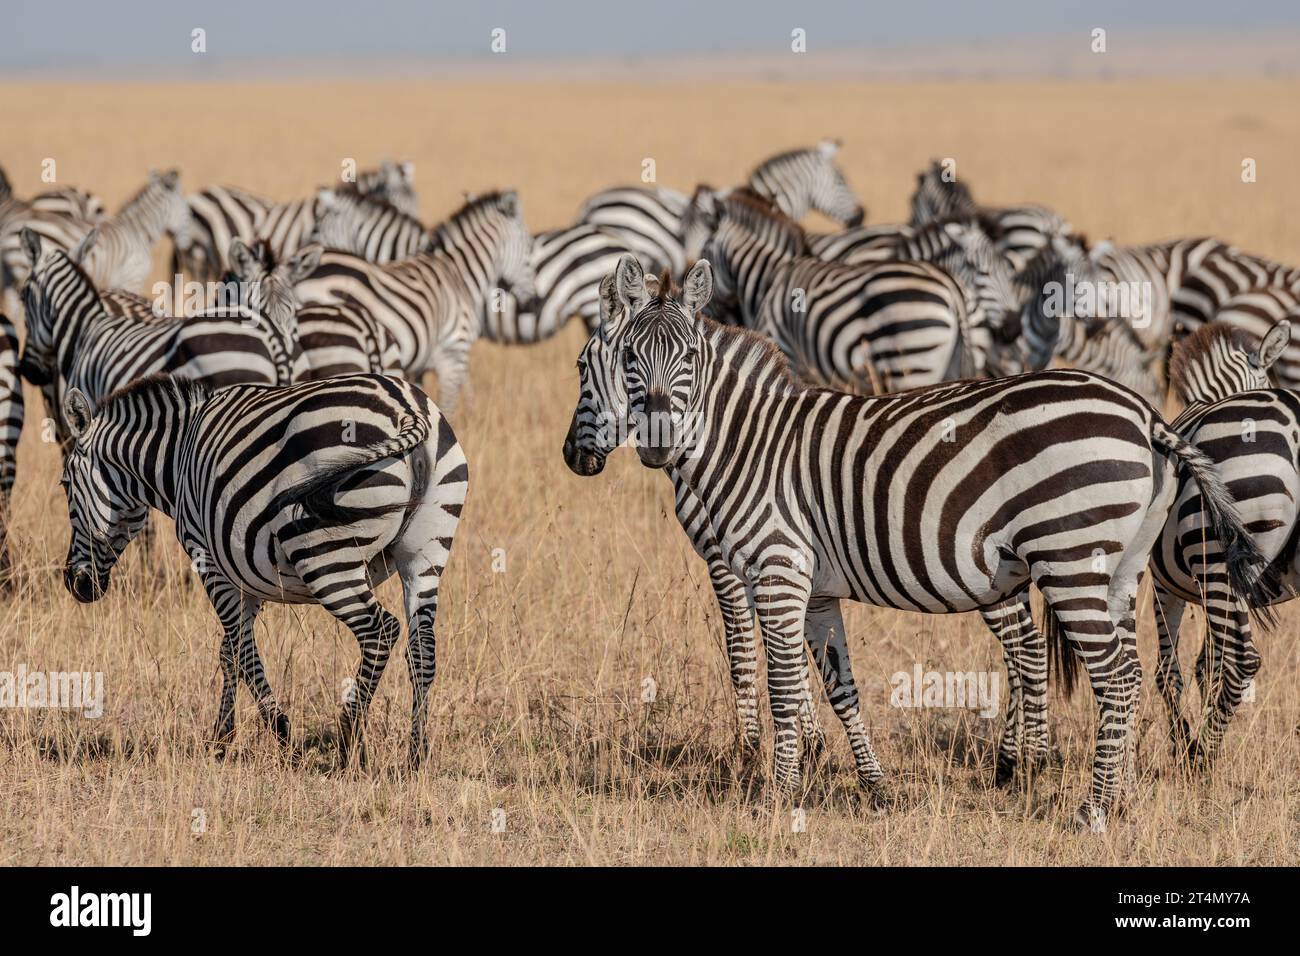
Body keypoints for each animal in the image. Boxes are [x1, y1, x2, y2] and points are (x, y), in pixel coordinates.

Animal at [58, 371, 466, 769]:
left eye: (64, 484)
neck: (176, 457)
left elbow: (241, 649)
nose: (75, 583)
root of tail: (406, 408)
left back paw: (349, 743)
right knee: (422, 647)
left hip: (325, 552)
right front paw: (221, 739)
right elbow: (229, 652)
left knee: (379, 631)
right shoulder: (245, 572)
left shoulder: (209, 561)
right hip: (426, 552)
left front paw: (281, 733)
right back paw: (417, 755)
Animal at [294, 191, 536, 412]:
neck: (459, 274)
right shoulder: (452, 353)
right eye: (529, 250)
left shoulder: (419, 367)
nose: (533, 301)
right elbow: (448, 406)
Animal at [568, 254, 1266, 830]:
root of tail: (1147, 415)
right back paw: (1118, 799)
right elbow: (839, 685)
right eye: (627, 362)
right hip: (1116, 569)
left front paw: (776, 795)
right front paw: (873, 789)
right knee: (1129, 670)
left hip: (1070, 558)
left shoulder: (774, 571)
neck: (749, 442)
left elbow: (779, 683)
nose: (653, 447)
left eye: (687, 358)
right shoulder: (816, 590)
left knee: (1115, 675)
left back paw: (1092, 810)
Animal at [1151, 320, 1296, 765]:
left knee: (1242, 661)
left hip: (1218, 561)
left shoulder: (1163, 584)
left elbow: (1170, 672)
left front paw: (1183, 745)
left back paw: (1201, 759)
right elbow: (1205, 668)